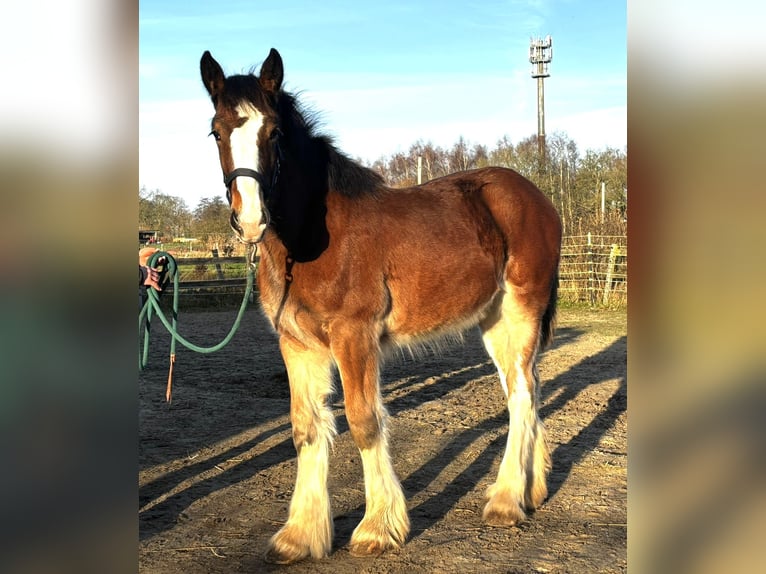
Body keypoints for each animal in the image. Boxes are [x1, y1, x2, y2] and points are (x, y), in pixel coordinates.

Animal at [199, 48, 561, 564]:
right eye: (217, 131)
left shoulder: (354, 335)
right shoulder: (296, 344)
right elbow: (305, 428)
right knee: (522, 391)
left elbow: (363, 421)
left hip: (521, 311)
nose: (250, 219)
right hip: (493, 322)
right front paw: (300, 535)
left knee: (524, 394)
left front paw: (377, 528)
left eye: (274, 133)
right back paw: (529, 490)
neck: (310, 239)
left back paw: (507, 501)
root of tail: (535, 197)